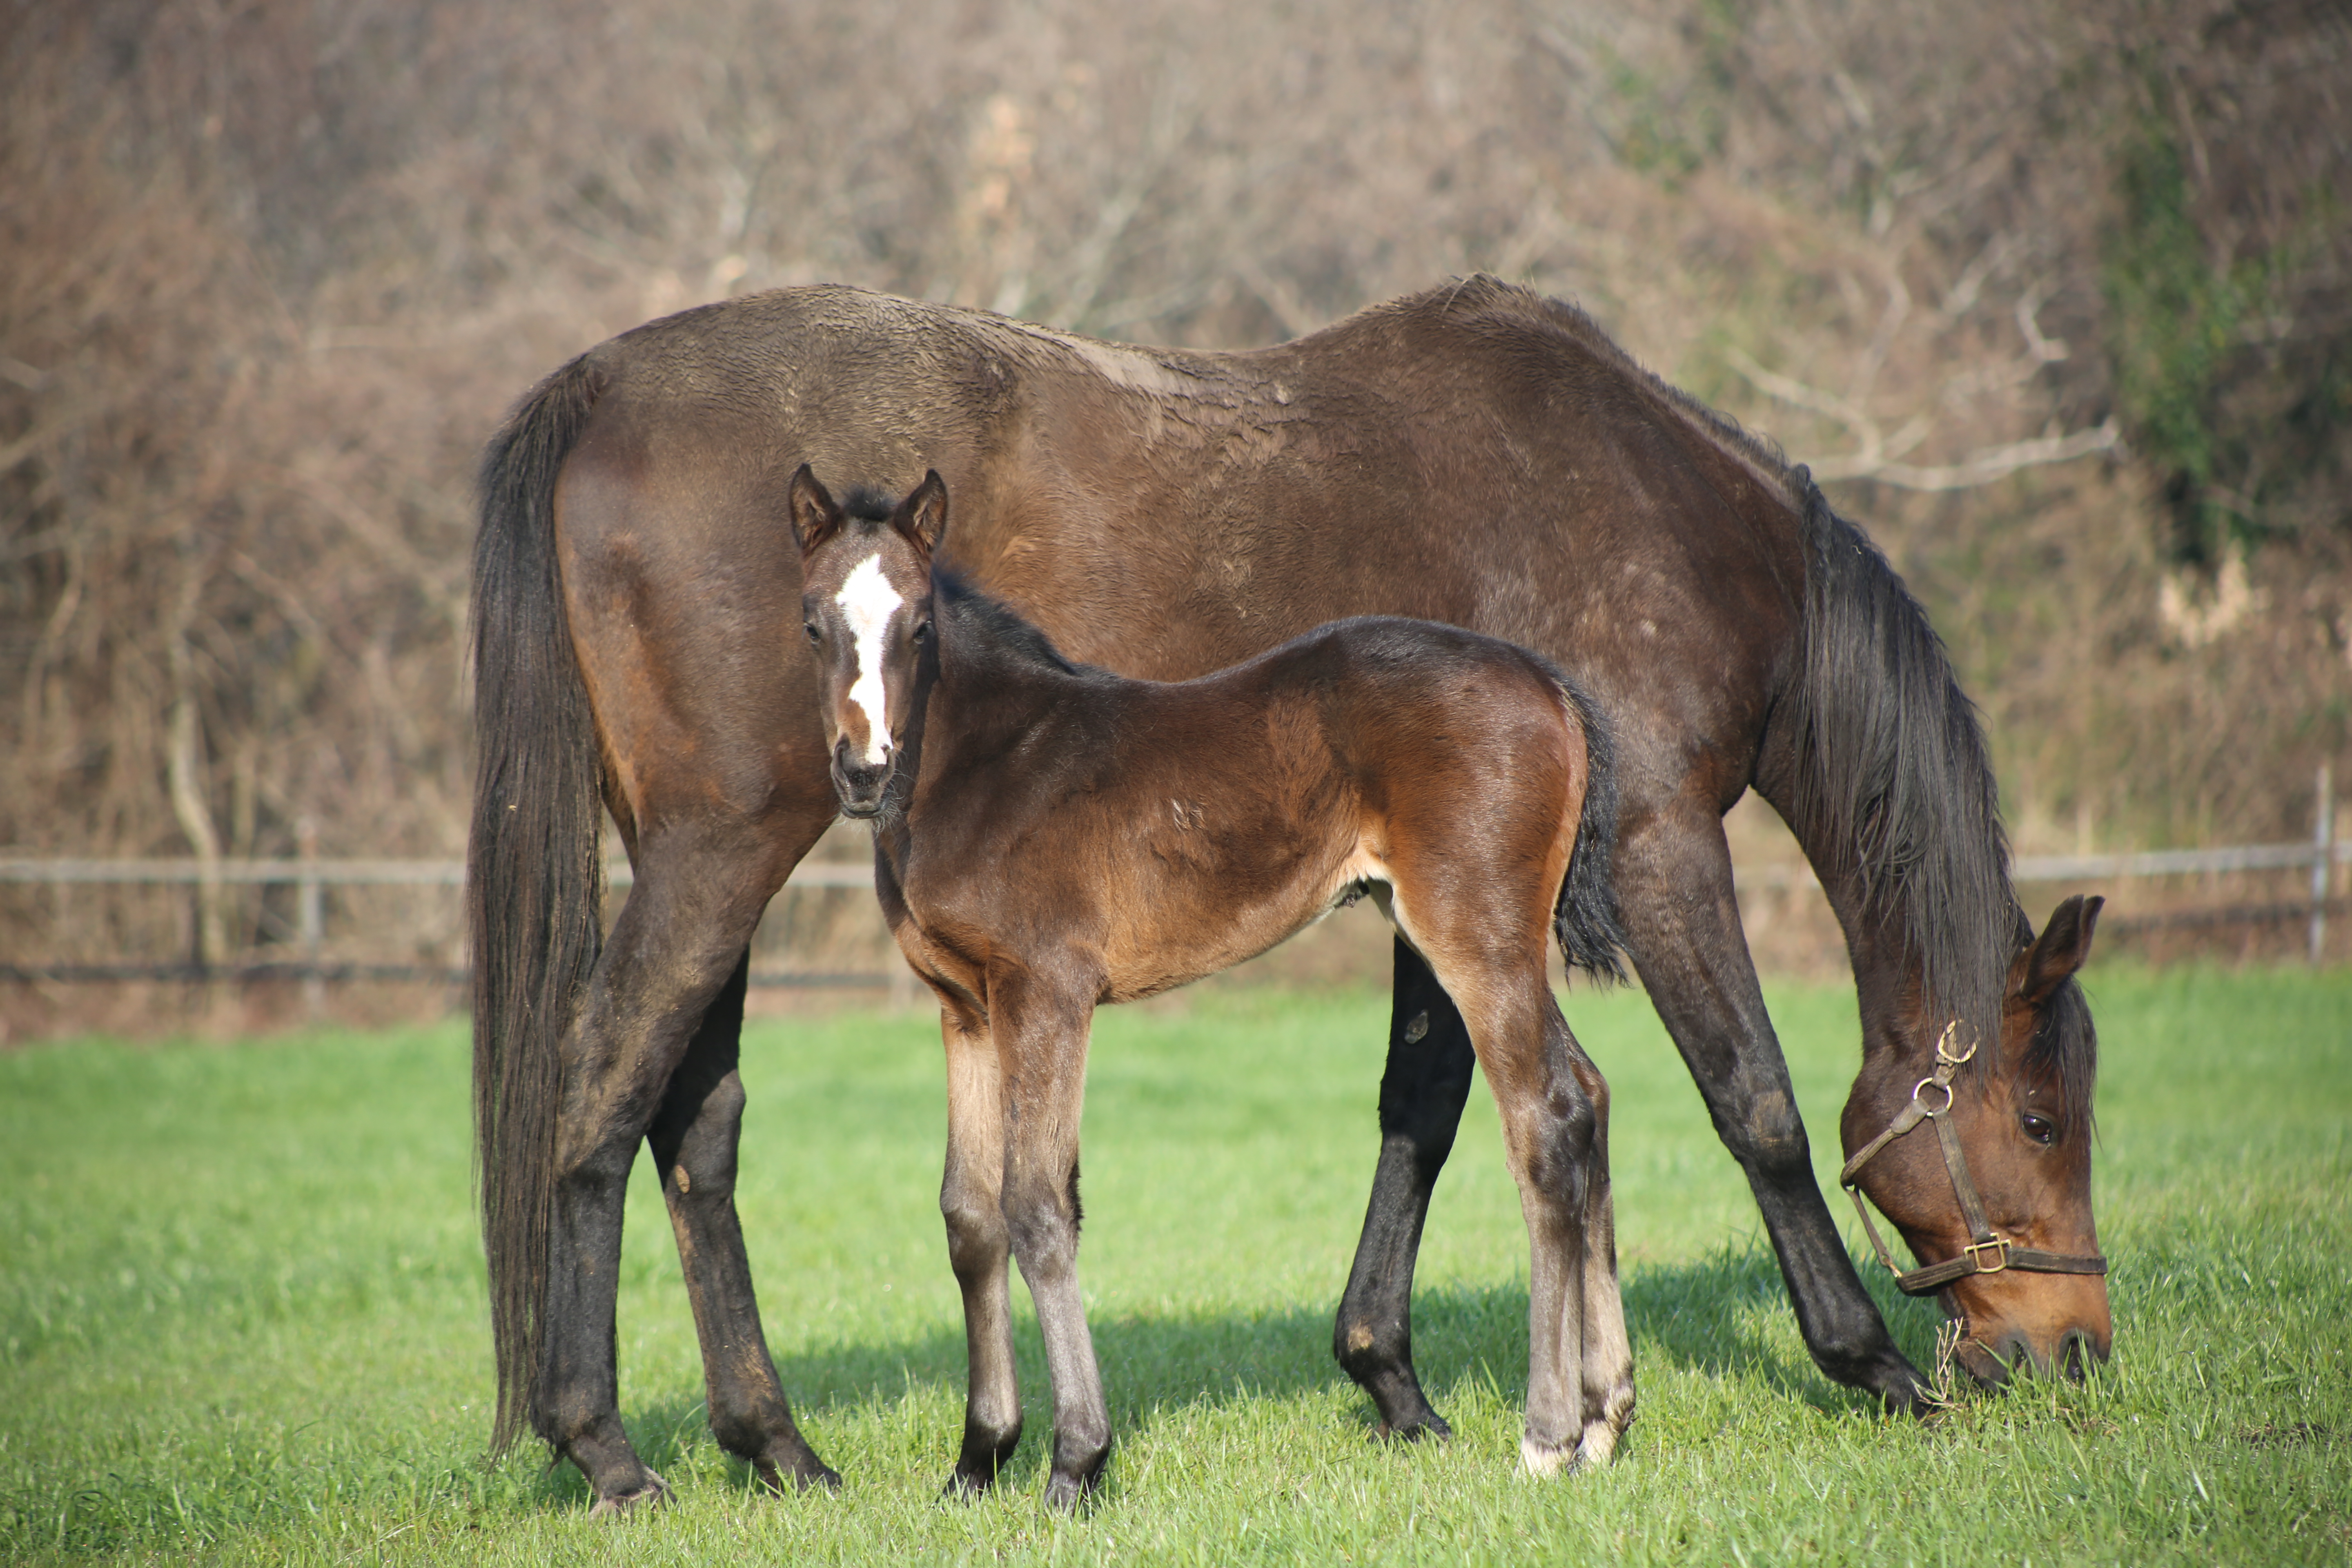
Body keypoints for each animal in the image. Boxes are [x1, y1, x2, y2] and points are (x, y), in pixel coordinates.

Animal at [790, 465, 1637, 1504]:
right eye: (813, 624)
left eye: (917, 626)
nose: (864, 772)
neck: (986, 764)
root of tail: (1550, 683)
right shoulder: (966, 1008)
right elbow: (969, 1214)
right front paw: (977, 1460)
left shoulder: (1048, 992)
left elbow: (1039, 1205)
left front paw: (1075, 1462)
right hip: (1492, 941)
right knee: (1585, 1095)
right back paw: (1604, 1416)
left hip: (1475, 936)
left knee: (1543, 1119)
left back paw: (1547, 1435)